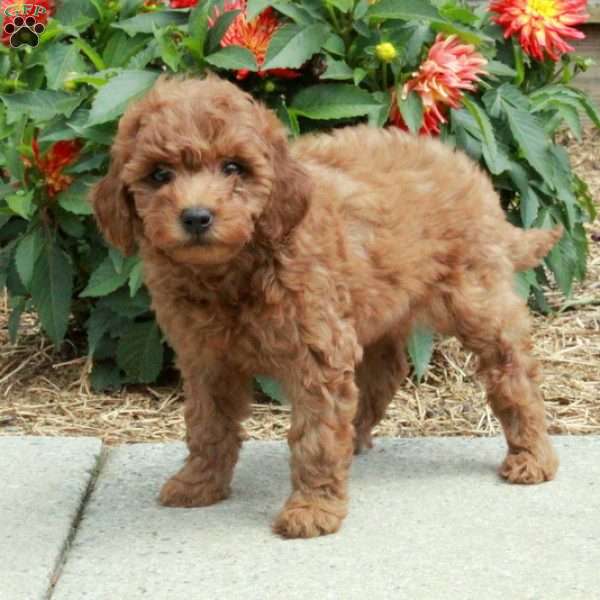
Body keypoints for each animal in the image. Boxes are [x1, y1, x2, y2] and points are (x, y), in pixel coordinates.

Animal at [92, 74, 564, 540]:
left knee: (513, 369)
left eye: (233, 168)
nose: (196, 217)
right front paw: (199, 483)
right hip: (377, 305)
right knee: (384, 372)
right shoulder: (205, 358)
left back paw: (532, 456)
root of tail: (463, 165)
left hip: (475, 296)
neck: (234, 268)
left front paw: (313, 508)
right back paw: (353, 441)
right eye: (159, 174)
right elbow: (208, 423)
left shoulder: (315, 352)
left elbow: (315, 434)